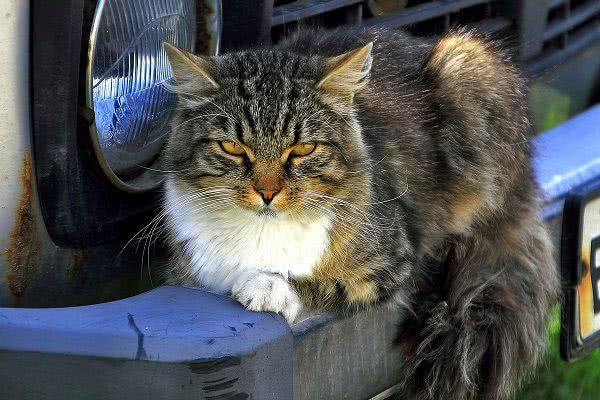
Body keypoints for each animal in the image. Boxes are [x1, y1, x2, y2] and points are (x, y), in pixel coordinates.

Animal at [162, 25, 560, 400]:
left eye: (302, 149)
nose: (268, 193)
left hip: (465, 61)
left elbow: (322, 283)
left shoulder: (393, 263)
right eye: (232, 147)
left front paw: (268, 286)